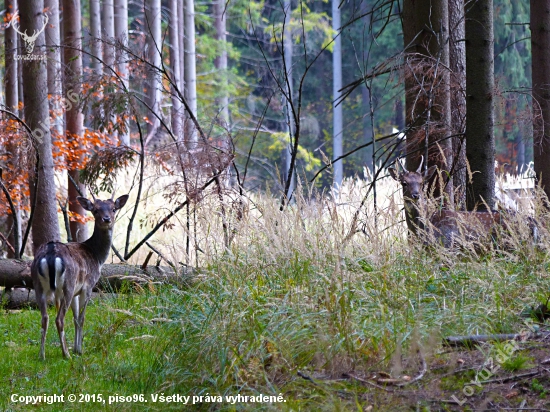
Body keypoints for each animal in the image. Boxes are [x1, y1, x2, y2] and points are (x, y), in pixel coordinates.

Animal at [31, 193, 129, 358]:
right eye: (95, 210)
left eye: (113, 209)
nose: (107, 219)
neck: (97, 257)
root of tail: (50, 253)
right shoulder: (88, 286)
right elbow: (82, 318)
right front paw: (79, 350)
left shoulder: (77, 292)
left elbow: (76, 318)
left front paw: (77, 348)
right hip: (68, 285)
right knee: (59, 319)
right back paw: (66, 354)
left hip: (38, 285)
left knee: (44, 318)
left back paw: (41, 355)